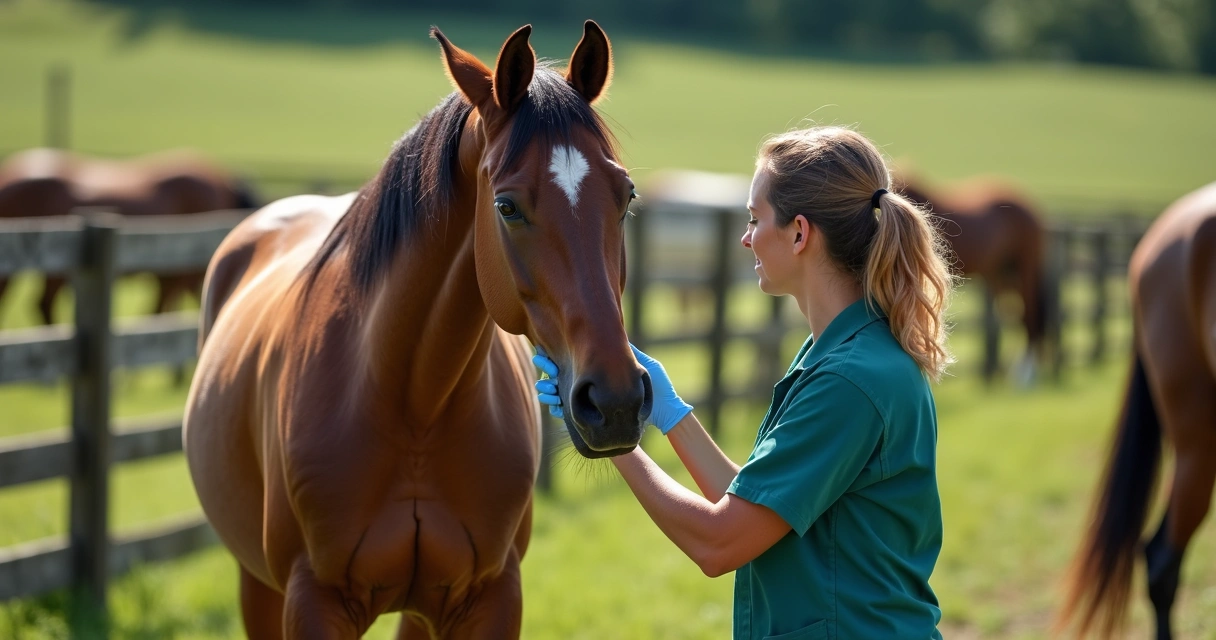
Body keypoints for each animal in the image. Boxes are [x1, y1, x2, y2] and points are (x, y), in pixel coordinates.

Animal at [183, 22, 651, 638]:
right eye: (506, 206)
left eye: (626, 195)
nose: (616, 400)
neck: (414, 408)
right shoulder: (312, 600)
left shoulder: (490, 597)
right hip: (257, 584)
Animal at [895, 169, 1048, 382]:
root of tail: (1028, 206)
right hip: (1004, 272)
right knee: (1016, 315)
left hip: (1025, 268)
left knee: (1029, 313)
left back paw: (1024, 375)